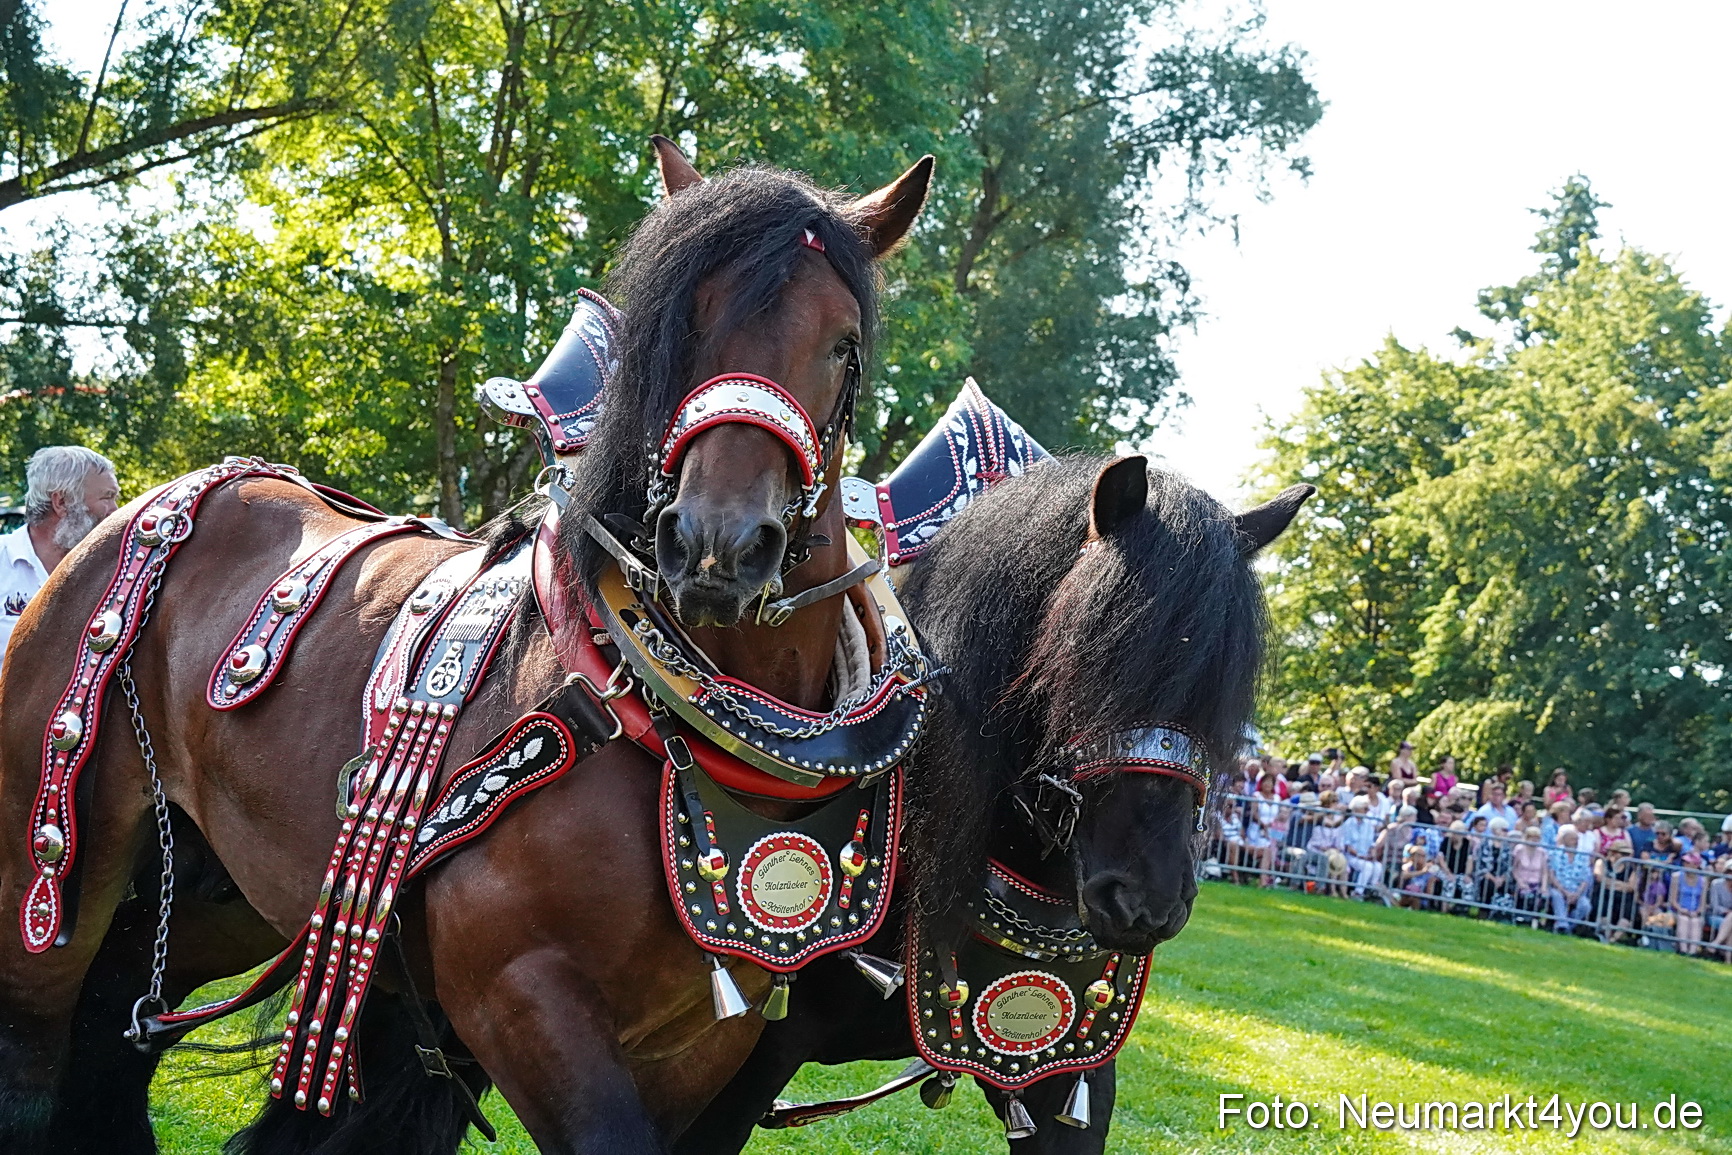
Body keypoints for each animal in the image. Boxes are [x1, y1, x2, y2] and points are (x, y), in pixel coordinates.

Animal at [0, 139, 935, 1154]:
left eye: (844, 345)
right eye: (682, 325)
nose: (717, 544)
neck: (654, 715)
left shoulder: (709, 1042)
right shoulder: (521, 999)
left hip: (229, 891)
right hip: (47, 869)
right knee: (37, 1059)